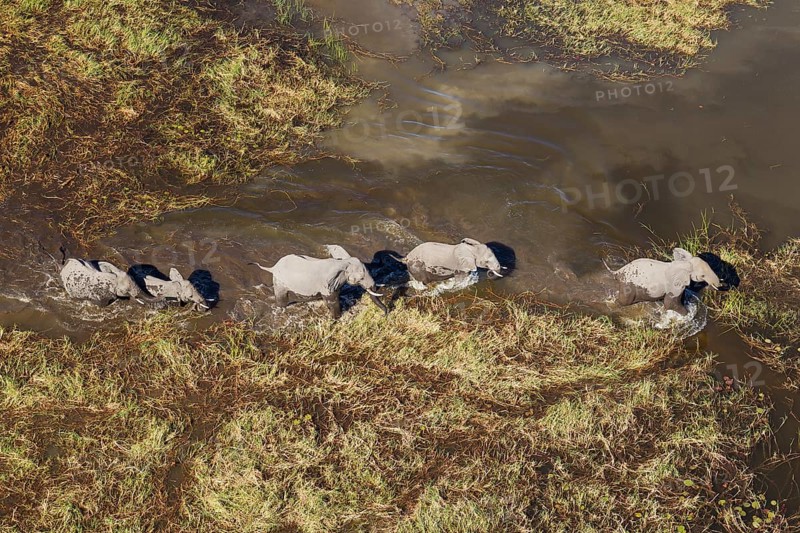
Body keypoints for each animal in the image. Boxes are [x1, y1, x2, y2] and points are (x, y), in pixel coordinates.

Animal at [250, 246, 388, 318]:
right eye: (361, 278)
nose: (385, 315)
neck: (343, 262)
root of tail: (273, 266)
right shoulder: (326, 284)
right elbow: (332, 301)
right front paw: (337, 318)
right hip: (280, 281)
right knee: (281, 297)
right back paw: (282, 308)